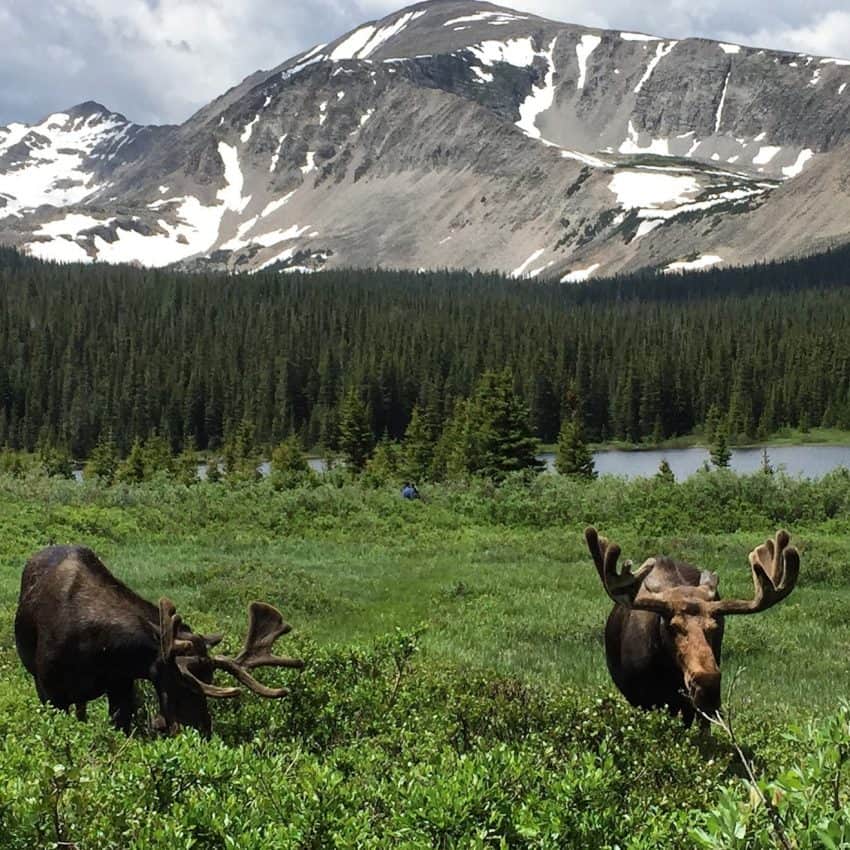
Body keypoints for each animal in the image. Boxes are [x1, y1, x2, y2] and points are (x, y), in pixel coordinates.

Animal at [14, 544, 304, 736]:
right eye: (184, 684)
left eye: (209, 678)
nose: (204, 731)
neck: (99, 649)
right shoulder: (49, 691)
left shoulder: (121, 685)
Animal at [584, 528, 796, 720]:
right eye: (672, 626)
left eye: (715, 627)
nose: (708, 686)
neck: (663, 672)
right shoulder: (640, 699)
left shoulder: (687, 707)